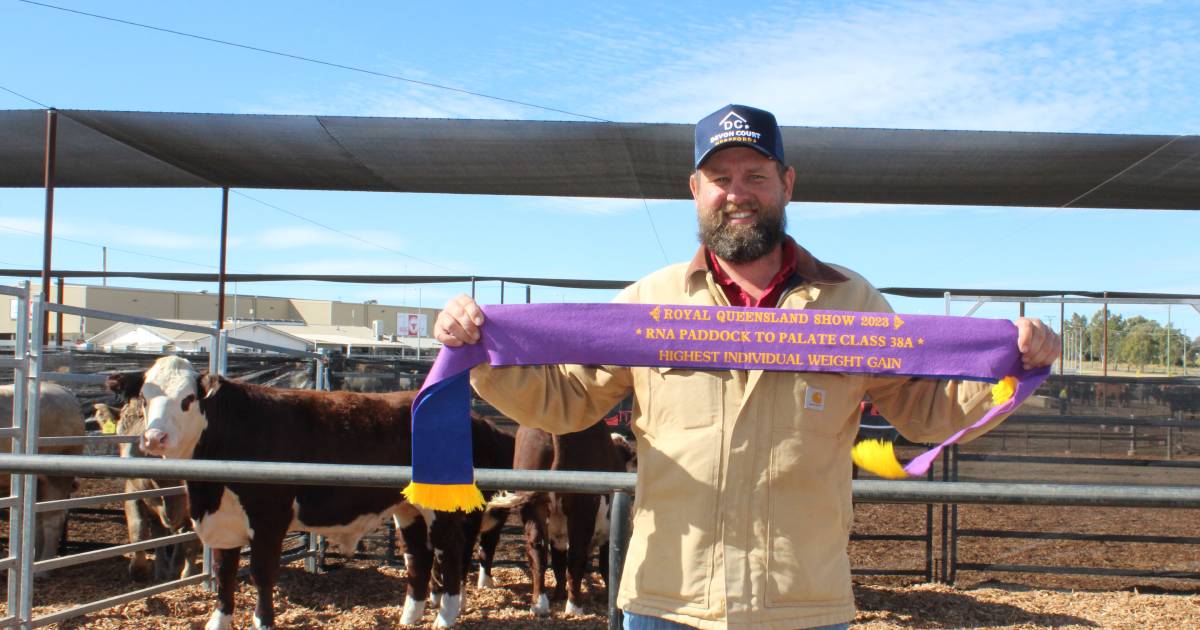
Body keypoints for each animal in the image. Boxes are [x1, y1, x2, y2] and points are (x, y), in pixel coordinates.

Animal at [135, 355, 463, 624]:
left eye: (188, 398)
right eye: (144, 398)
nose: (154, 438)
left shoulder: (269, 520)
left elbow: (262, 574)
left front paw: (263, 621)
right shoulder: (223, 523)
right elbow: (223, 573)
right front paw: (219, 622)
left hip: (442, 508)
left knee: (449, 553)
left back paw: (444, 619)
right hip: (409, 509)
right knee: (419, 557)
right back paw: (408, 619)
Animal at [492, 420, 633, 614]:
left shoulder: (557, 536)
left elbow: (558, 564)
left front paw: (558, 595)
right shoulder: (606, 532)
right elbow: (606, 565)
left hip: (533, 507)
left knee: (537, 551)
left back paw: (539, 604)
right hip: (582, 508)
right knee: (576, 554)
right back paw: (574, 606)